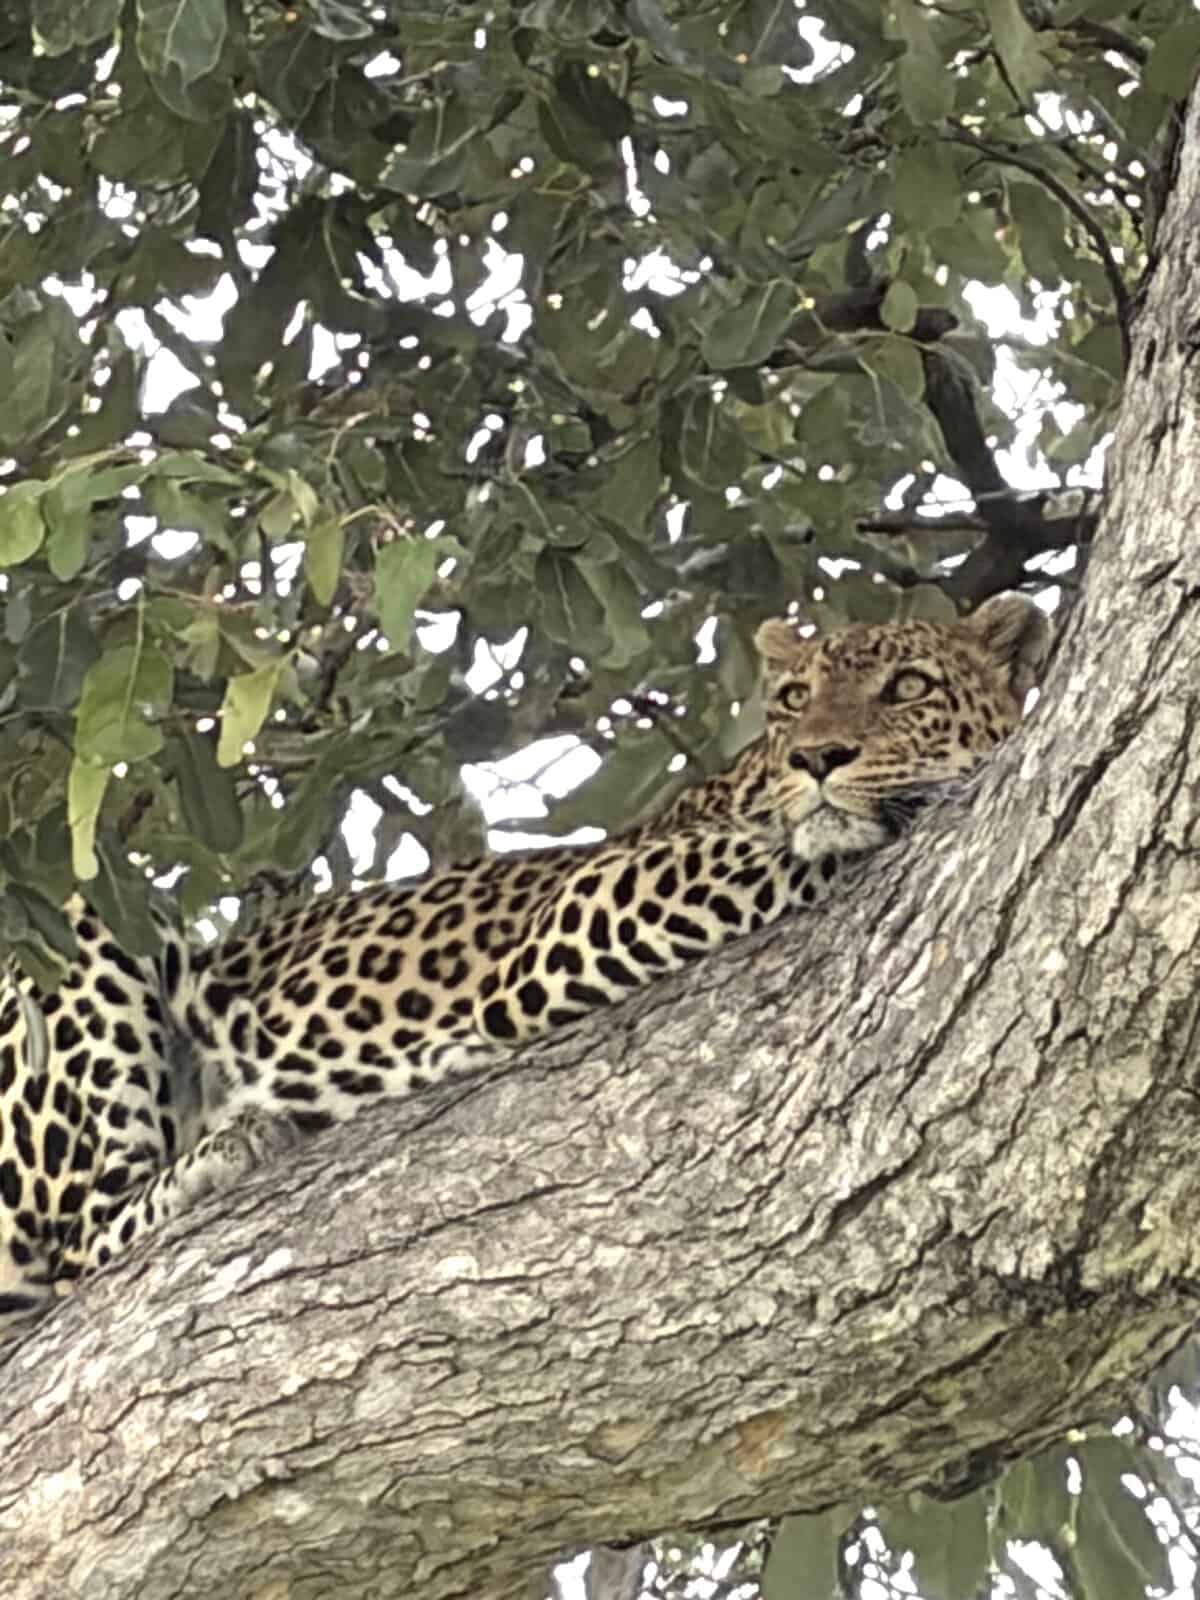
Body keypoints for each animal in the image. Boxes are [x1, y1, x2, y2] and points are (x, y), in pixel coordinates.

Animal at [0, 593, 1048, 1342]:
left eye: (908, 689)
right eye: (793, 701)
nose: (818, 757)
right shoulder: (590, 905)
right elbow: (783, 850)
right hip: (72, 920)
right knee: (75, 1249)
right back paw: (233, 1145)